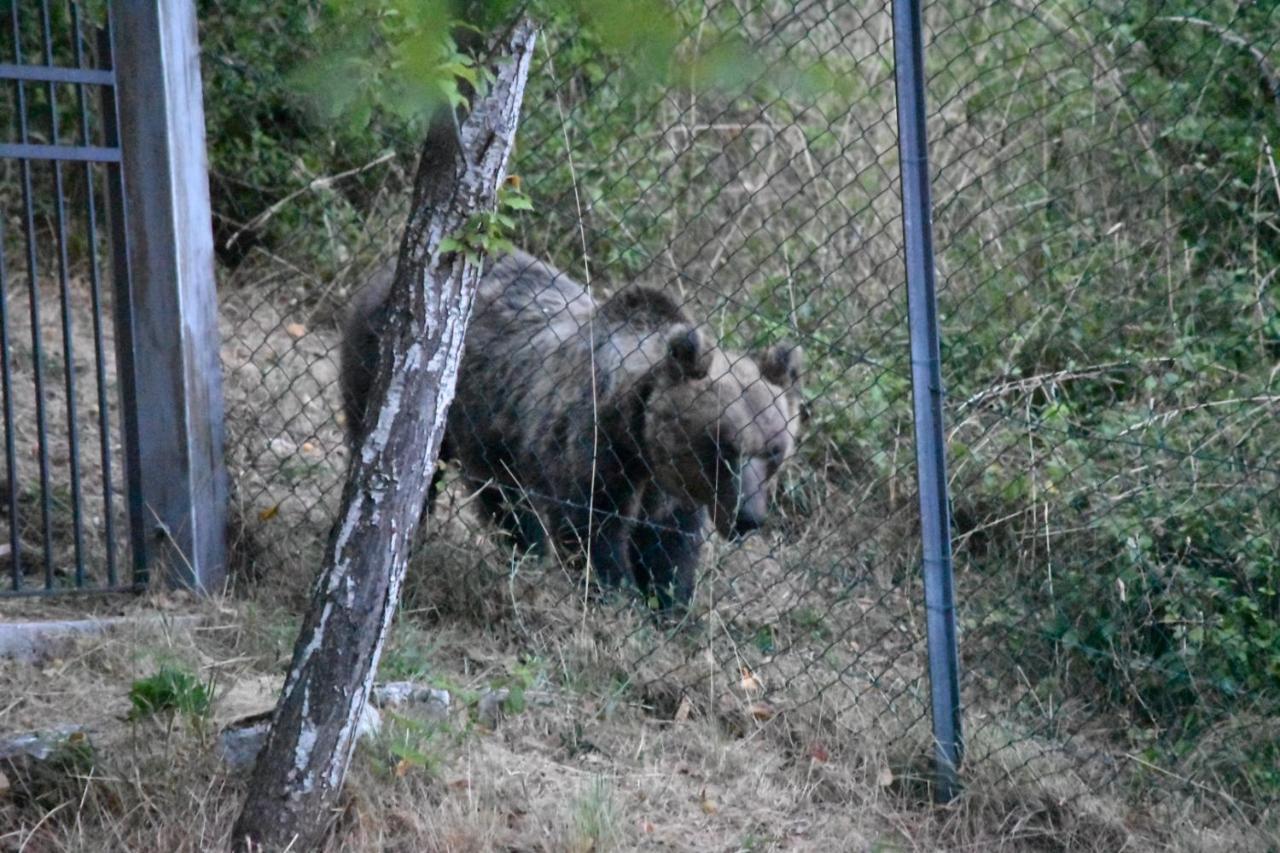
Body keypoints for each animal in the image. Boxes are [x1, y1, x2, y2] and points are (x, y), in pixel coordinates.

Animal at [340, 249, 798, 607]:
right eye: (725, 446)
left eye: (775, 451)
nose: (748, 517)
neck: (641, 438)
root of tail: (384, 272)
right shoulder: (592, 442)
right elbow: (593, 529)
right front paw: (616, 594)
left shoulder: (670, 490)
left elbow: (670, 546)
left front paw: (672, 609)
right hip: (393, 373)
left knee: (500, 495)